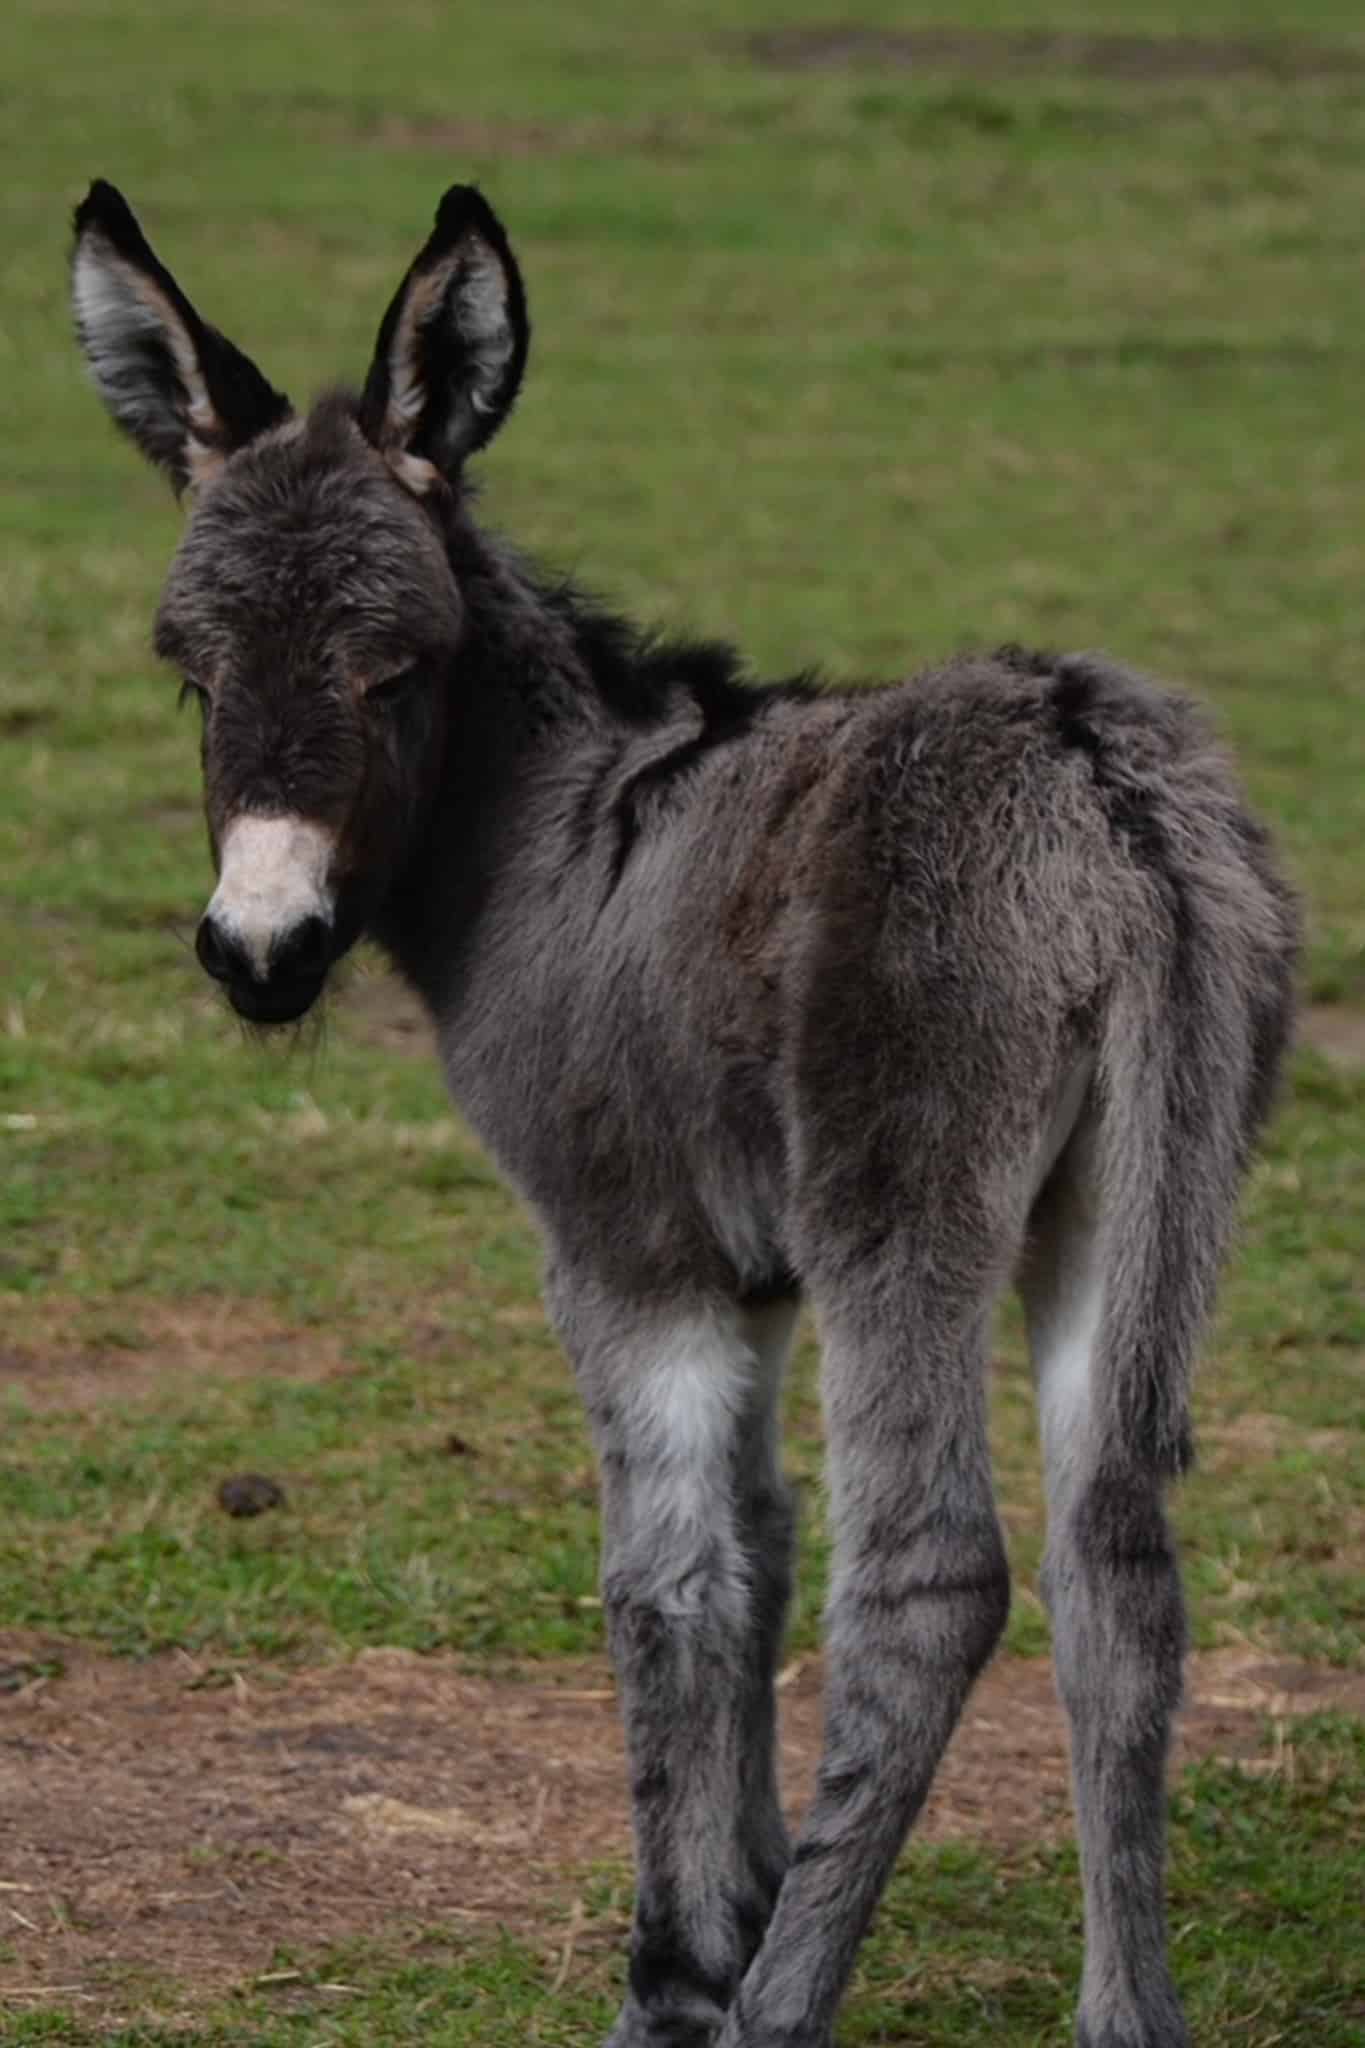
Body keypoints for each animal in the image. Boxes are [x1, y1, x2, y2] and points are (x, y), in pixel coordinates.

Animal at [74, 180, 1301, 2048]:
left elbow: (662, 1585)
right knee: (1118, 1565)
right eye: (188, 672)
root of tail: (1106, 791)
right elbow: (759, 1551)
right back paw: (1121, 2012)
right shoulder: (750, 1275)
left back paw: (791, 2003)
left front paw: (680, 1976)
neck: (546, 838)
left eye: (393, 668)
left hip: (903, 1208)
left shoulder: (623, 1255)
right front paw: (735, 1903)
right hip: (1139, 1196)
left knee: (932, 1578)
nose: (260, 951)